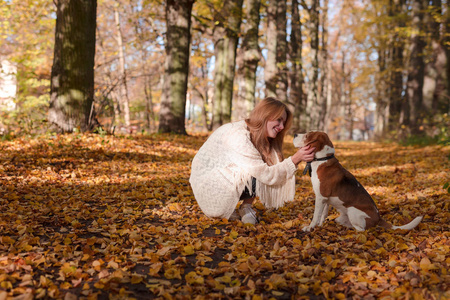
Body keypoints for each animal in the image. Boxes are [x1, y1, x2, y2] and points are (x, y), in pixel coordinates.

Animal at [294, 131, 424, 232]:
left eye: (307, 135)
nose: (294, 134)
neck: (323, 159)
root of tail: (379, 218)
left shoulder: (320, 197)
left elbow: (316, 215)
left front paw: (310, 228)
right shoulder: (325, 199)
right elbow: (322, 215)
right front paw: (320, 226)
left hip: (352, 210)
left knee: (361, 230)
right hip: (341, 217)